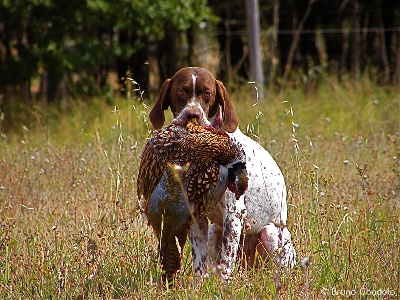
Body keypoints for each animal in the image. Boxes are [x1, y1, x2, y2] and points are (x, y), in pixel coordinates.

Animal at [148, 67, 296, 282]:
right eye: (181, 91)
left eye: (207, 93)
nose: (192, 114)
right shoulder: (196, 215)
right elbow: (200, 263)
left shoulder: (233, 214)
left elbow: (226, 264)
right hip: (214, 231)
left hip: (269, 233)